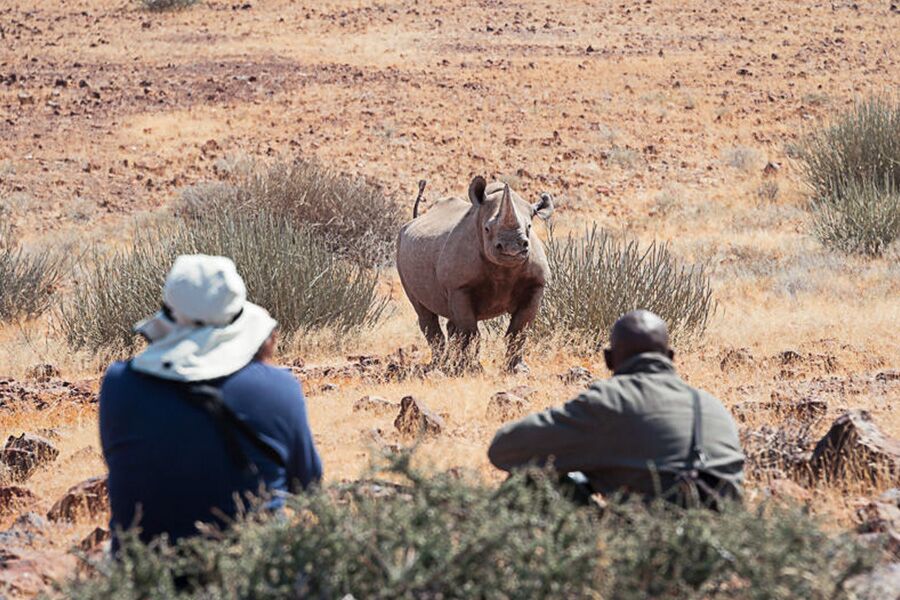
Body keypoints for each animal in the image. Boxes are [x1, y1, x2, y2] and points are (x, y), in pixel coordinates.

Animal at [397, 176, 554, 373]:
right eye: (487, 229)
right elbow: (470, 331)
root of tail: (414, 220)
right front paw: (472, 369)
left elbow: (519, 330)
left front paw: (518, 370)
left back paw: (450, 364)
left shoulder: (536, 285)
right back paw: (438, 366)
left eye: (530, 226)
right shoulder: (459, 287)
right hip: (400, 248)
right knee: (425, 312)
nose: (511, 248)